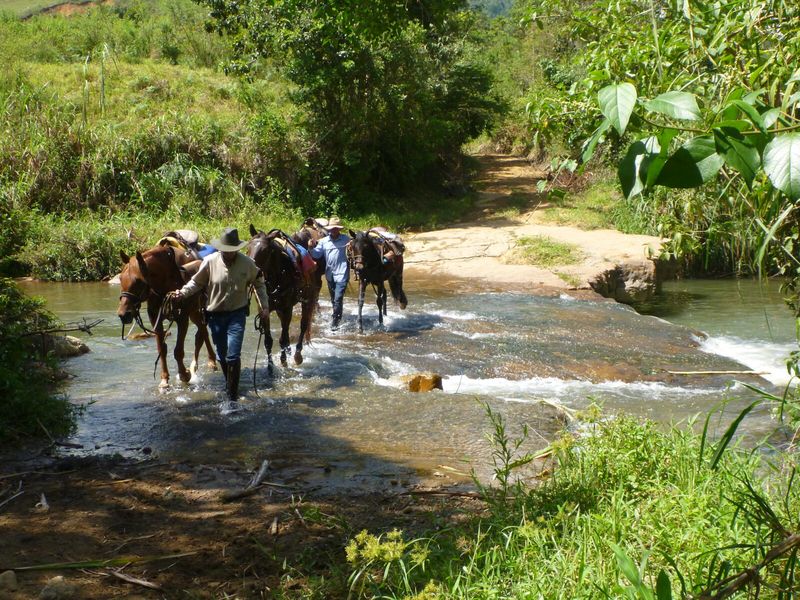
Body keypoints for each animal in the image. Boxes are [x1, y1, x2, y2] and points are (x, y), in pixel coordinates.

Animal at [117, 243, 217, 389]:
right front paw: (164, 380)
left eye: (138, 281)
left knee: (202, 334)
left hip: (199, 312)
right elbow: (162, 349)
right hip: (195, 314)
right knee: (201, 334)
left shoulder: (182, 319)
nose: (123, 315)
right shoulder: (156, 320)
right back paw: (195, 366)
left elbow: (178, 351)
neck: (166, 289)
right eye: (120, 278)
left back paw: (211, 362)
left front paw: (184, 375)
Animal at [247, 225, 317, 370]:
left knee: (303, 325)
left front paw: (284, 361)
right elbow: (268, 341)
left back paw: (297, 356)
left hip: (308, 300)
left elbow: (283, 339)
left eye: (264, 251)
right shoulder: (264, 310)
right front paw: (270, 367)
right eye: (248, 247)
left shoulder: (287, 308)